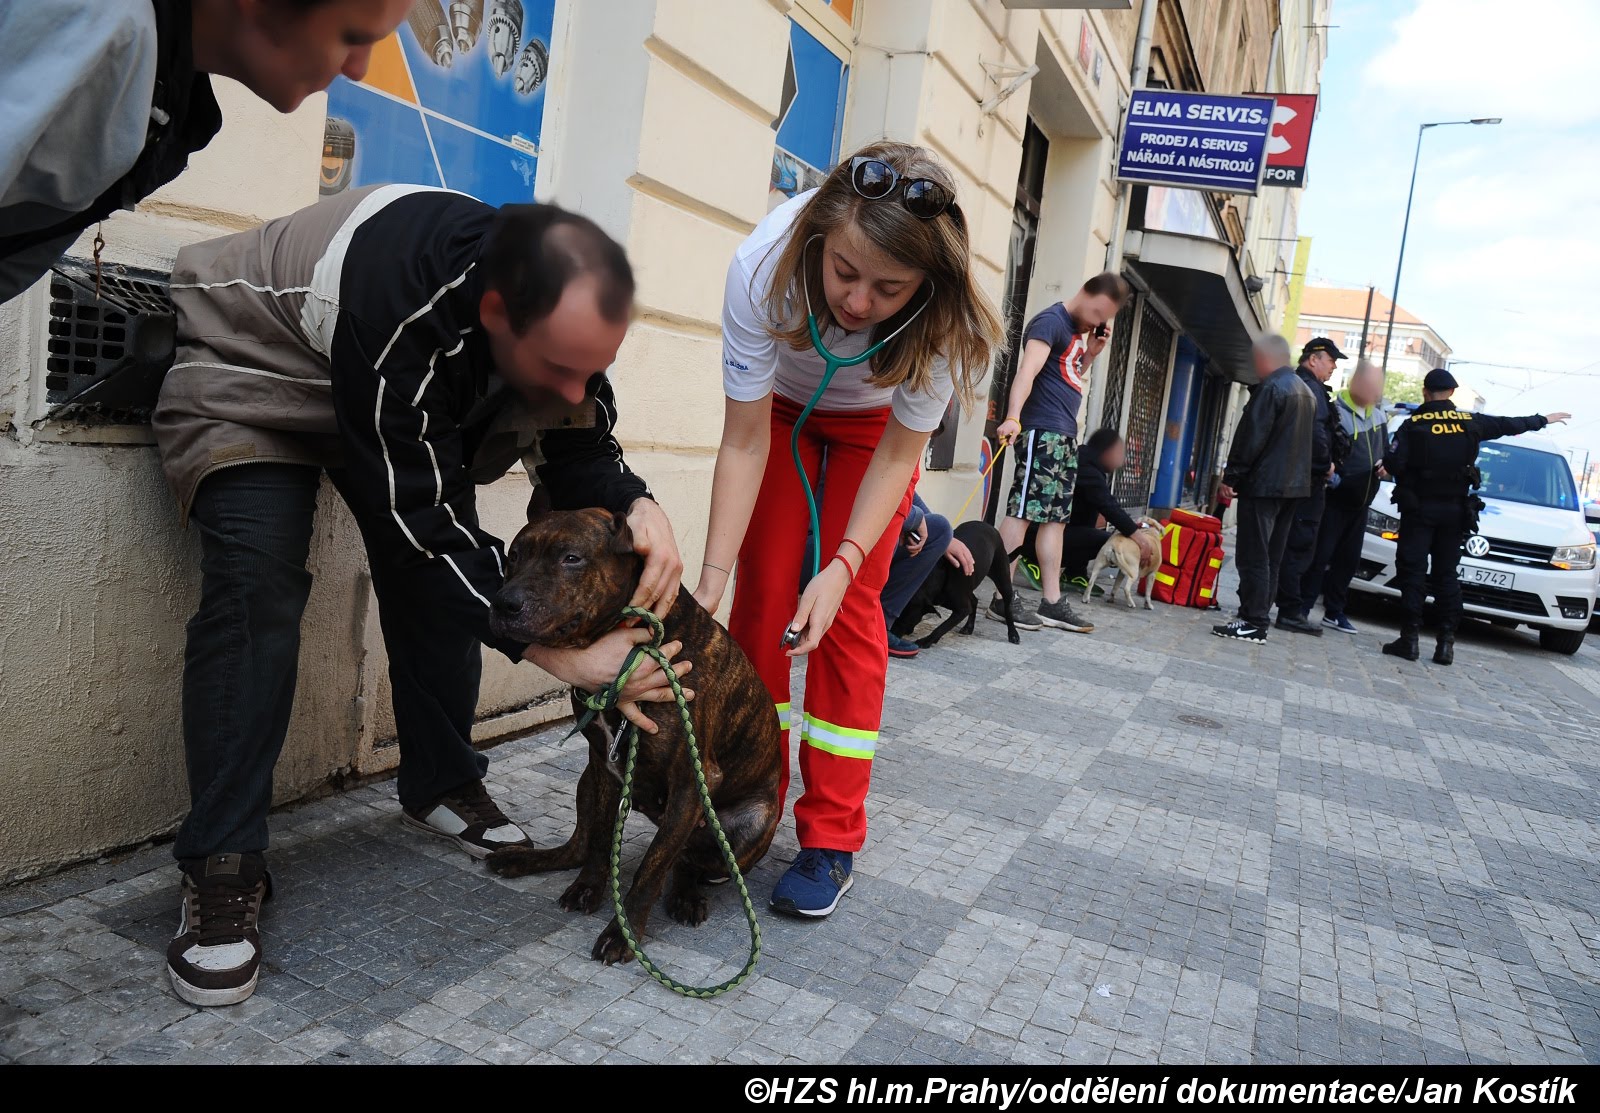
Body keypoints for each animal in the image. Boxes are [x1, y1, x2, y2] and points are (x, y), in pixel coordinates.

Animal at [486, 508, 787, 959]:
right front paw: (587, 890)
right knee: (578, 846)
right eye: (514, 555)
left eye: (571, 558)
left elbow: (651, 868)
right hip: (586, 783)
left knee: (686, 862)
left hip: (745, 826)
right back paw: (524, 860)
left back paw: (686, 896)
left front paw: (622, 932)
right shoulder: (604, 767)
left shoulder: (692, 783)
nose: (504, 603)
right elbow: (598, 842)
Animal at [896, 518, 1017, 649]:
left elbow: (942, 627)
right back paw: (968, 627)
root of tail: (989, 526)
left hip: (1003, 580)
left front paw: (926, 641)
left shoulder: (962, 610)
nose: (892, 633)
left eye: (906, 620)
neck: (939, 576)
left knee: (1007, 607)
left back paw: (1013, 634)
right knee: (974, 601)